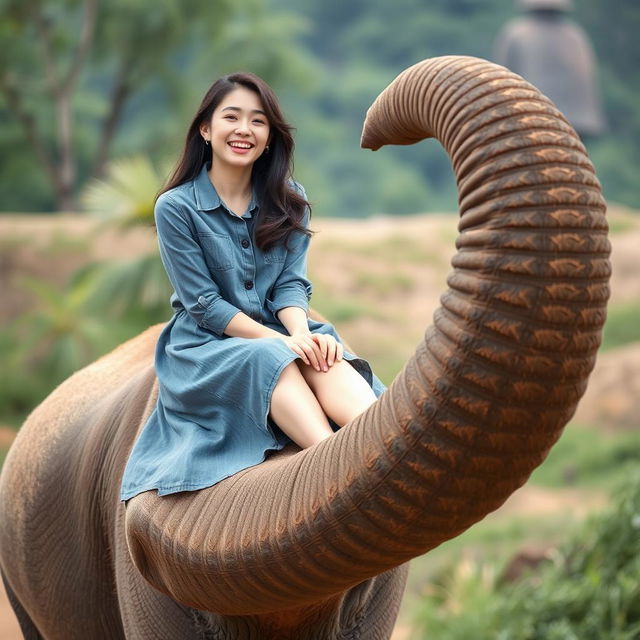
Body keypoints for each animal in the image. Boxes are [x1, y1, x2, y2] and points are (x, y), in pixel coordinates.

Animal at [0, 56, 608, 640]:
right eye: (139, 556)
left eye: (257, 122)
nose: (371, 132)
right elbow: (226, 311)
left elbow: (298, 304)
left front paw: (314, 351)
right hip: (23, 587)